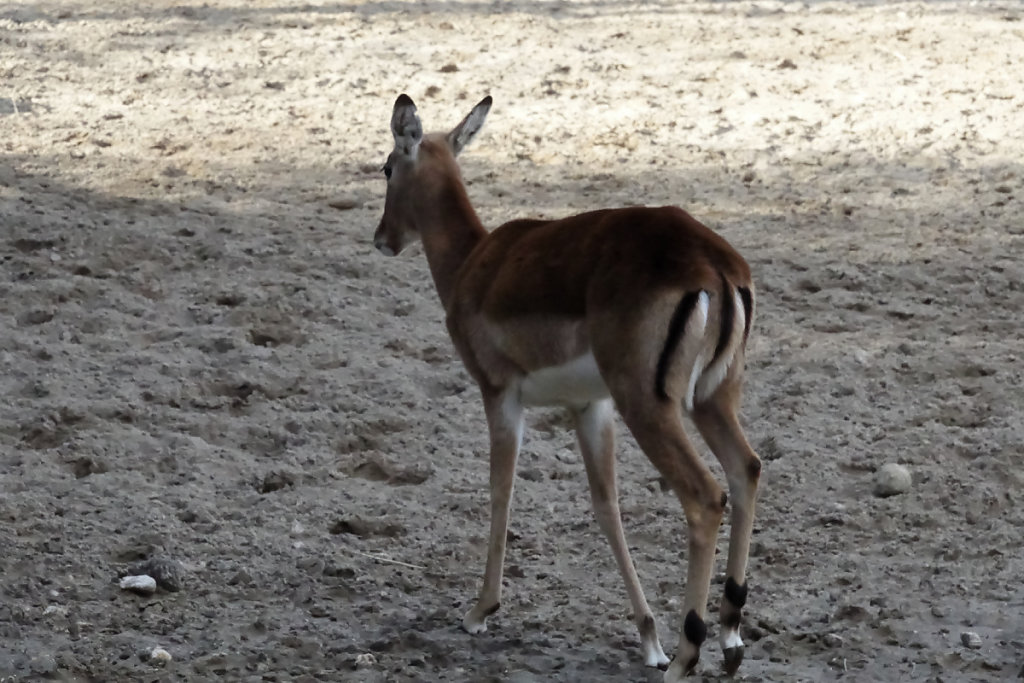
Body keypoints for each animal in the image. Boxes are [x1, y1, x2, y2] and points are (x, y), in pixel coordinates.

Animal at [372, 94, 762, 680]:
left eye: (387, 167)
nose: (382, 239)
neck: (474, 263)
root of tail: (715, 264)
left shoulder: (500, 396)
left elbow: (501, 491)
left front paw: (480, 610)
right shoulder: (590, 407)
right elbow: (606, 506)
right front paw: (647, 638)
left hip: (650, 406)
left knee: (704, 495)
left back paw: (687, 655)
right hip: (711, 399)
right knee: (746, 471)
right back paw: (730, 639)